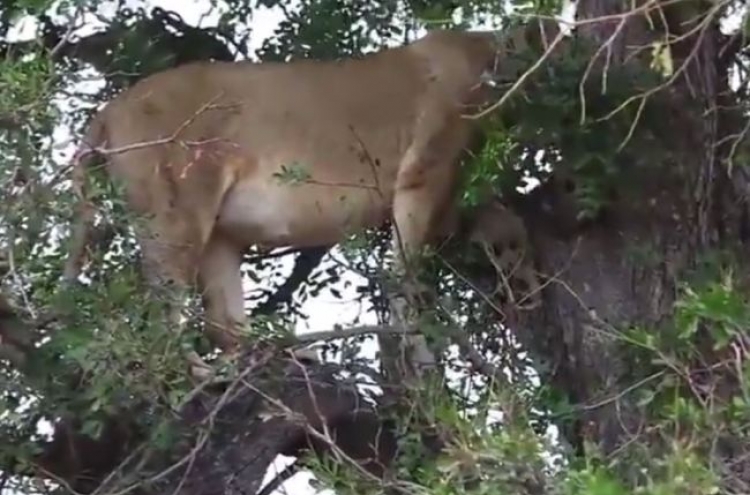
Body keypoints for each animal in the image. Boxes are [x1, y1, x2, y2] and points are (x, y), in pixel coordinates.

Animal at [63, 18, 560, 376]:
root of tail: (109, 109)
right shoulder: (426, 170)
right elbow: (404, 269)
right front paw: (413, 345)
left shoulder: (455, 192)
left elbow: (501, 222)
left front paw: (525, 284)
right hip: (178, 207)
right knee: (163, 308)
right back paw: (196, 370)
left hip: (219, 232)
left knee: (223, 319)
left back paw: (277, 356)